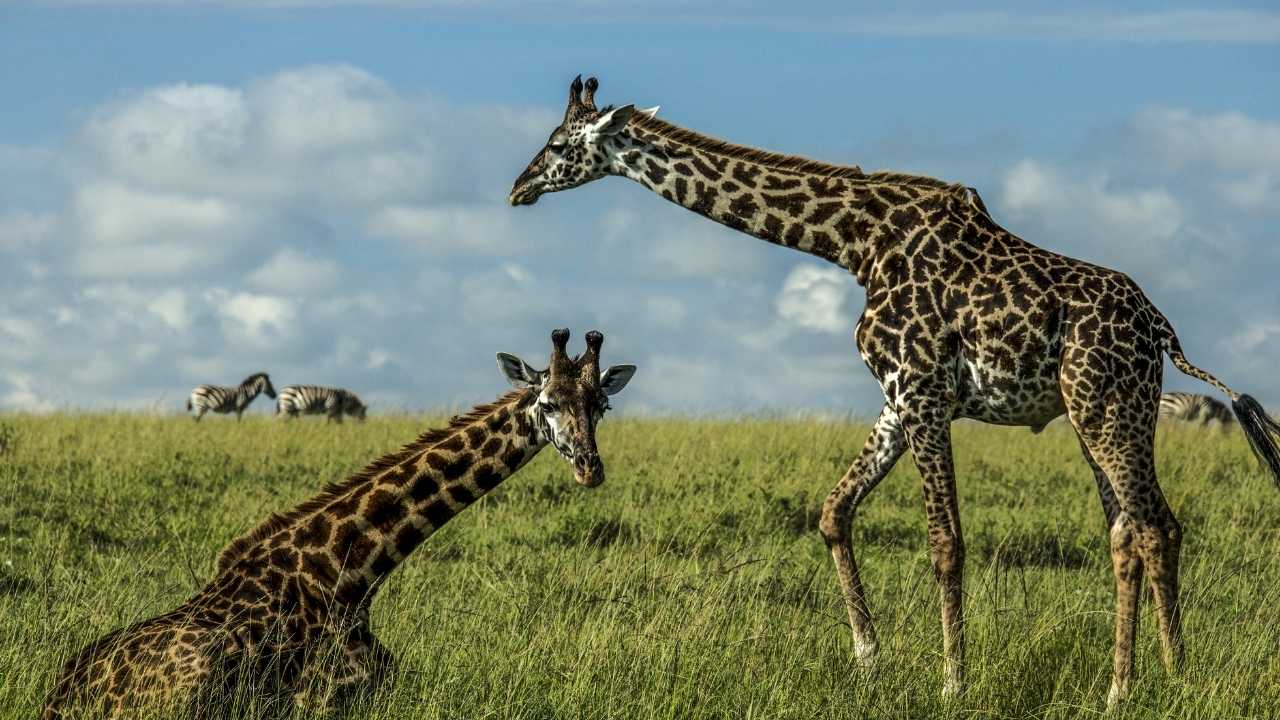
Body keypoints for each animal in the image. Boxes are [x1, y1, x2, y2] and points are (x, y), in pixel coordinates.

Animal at [43, 329, 636, 719]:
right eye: (548, 402)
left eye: (601, 405)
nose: (589, 468)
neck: (350, 574)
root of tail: (58, 696)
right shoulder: (319, 700)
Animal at [508, 75, 1280, 704]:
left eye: (558, 142)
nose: (519, 187)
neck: (855, 241)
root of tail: (1160, 329)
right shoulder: (897, 397)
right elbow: (833, 511)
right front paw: (869, 657)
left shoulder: (925, 391)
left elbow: (945, 540)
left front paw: (953, 682)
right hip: (1108, 409)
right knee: (1135, 529)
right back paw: (1137, 682)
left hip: (1105, 405)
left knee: (1151, 526)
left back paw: (1161, 680)